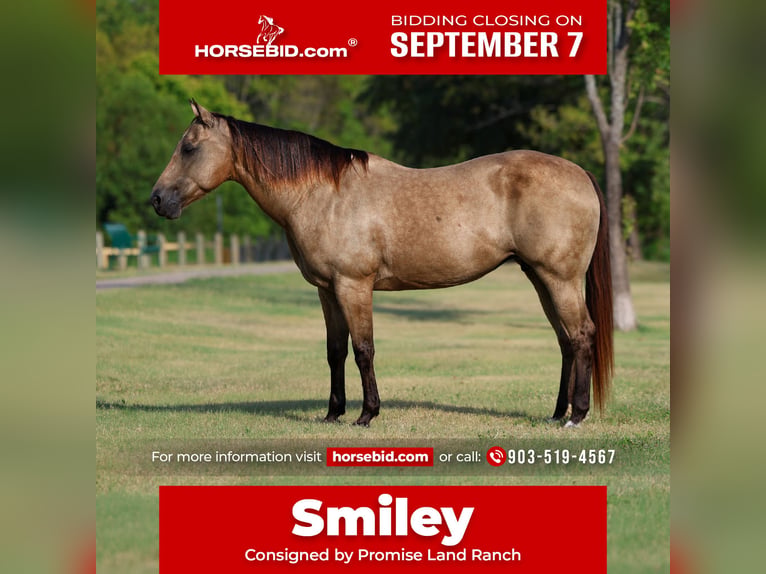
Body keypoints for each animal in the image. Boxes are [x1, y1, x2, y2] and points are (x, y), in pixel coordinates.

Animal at [151, 100, 614, 427]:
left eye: (189, 148)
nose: (157, 200)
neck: (324, 195)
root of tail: (580, 173)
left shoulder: (353, 285)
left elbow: (363, 349)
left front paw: (366, 414)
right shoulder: (327, 290)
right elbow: (335, 351)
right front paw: (333, 413)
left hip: (559, 278)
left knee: (581, 334)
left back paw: (576, 415)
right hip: (540, 277)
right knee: (565, 340)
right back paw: (557, 413)